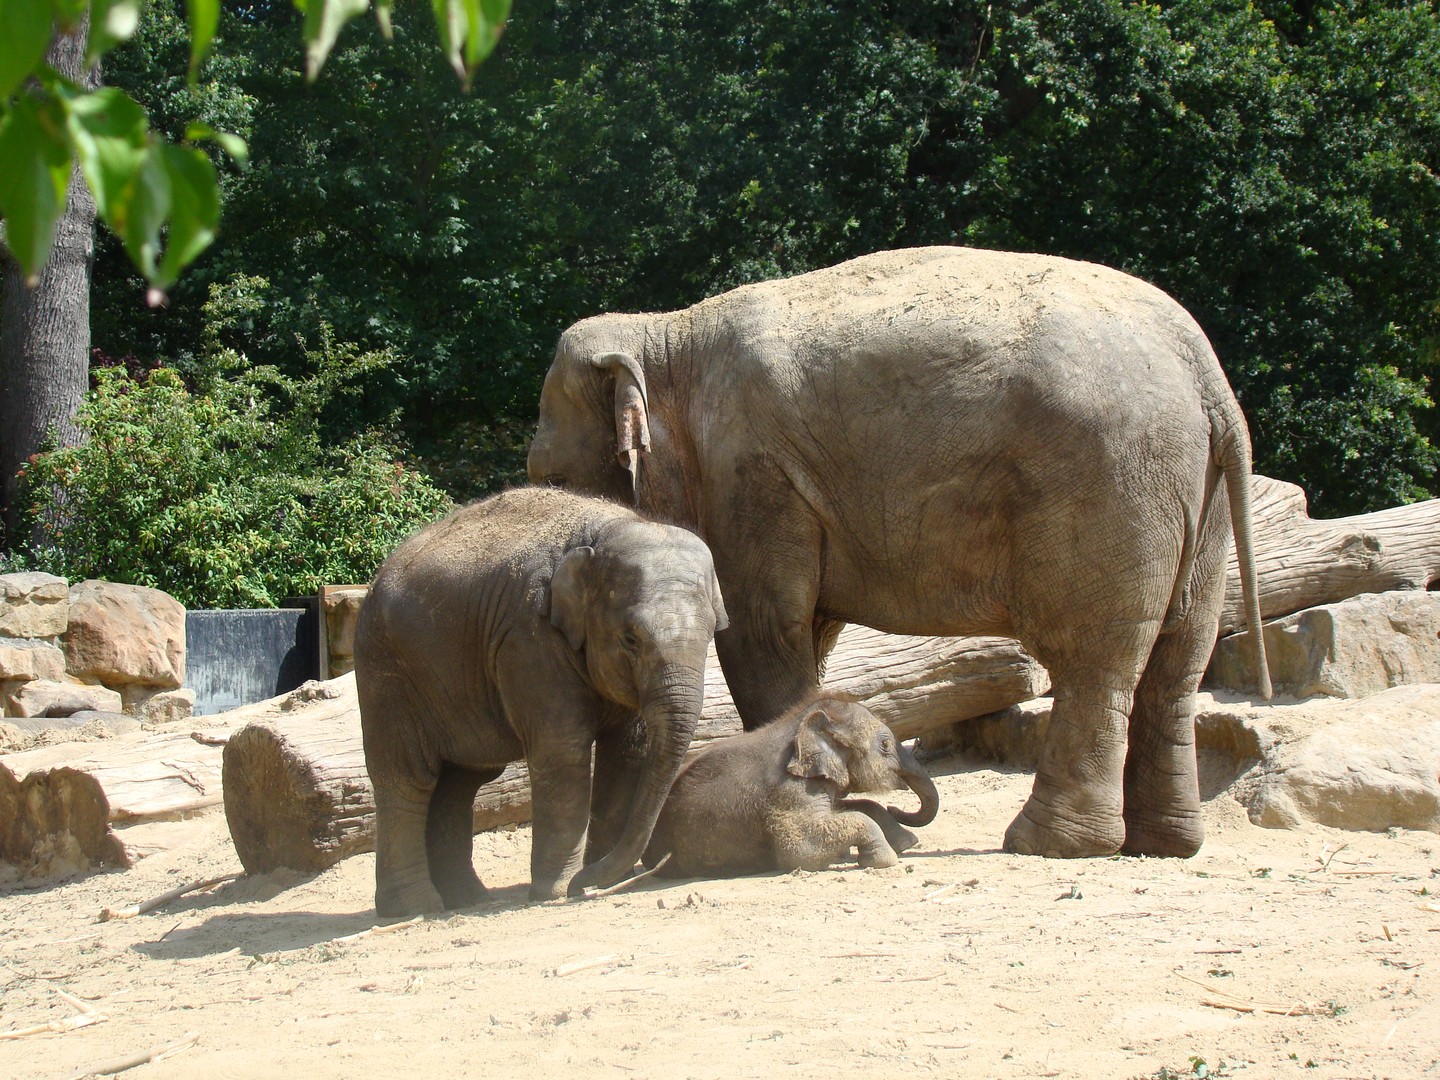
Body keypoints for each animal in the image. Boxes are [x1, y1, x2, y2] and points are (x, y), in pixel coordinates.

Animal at [354, 486, 725, 915]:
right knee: (407, 777)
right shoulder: (528, 639)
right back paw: (414, 909)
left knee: (461, 781)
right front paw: (559, 891)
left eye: (712, 633)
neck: (607, 529)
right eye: (631, 639)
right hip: (385, 673)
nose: (585, 885)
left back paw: (465, 899)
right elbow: (562, 750)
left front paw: (599, 882)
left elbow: (629, 752)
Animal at [639, 694, 933, 881]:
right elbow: (800, 851)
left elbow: (856, 806)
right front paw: (885, 861)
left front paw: (906, 843)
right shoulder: (787, 792)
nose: (897, 808)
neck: (798, 723)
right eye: (885, 745)